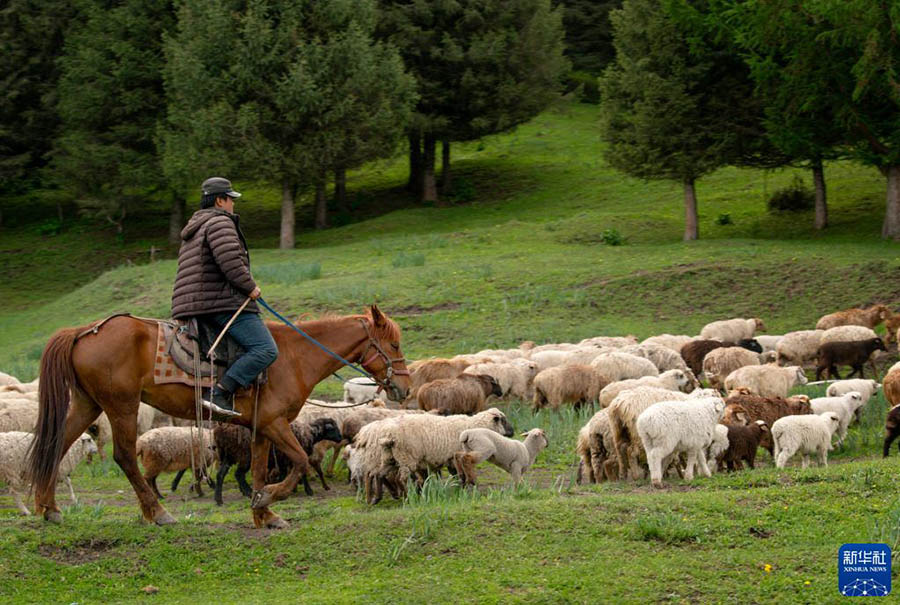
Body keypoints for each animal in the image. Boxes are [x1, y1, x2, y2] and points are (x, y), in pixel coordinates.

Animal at [27, 304, 408, 528]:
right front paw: (269, 499)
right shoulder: (275, 423)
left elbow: (258, 470)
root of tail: (84, 331)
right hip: (122, 406)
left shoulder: (260, 428)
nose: (402, 387)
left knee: (57, 444)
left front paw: (263, 513)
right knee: (124, 457)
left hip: (88, 404)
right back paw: (157, 513)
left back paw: (49, 508)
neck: (294, 356)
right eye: (394, 345)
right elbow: (299, 461)